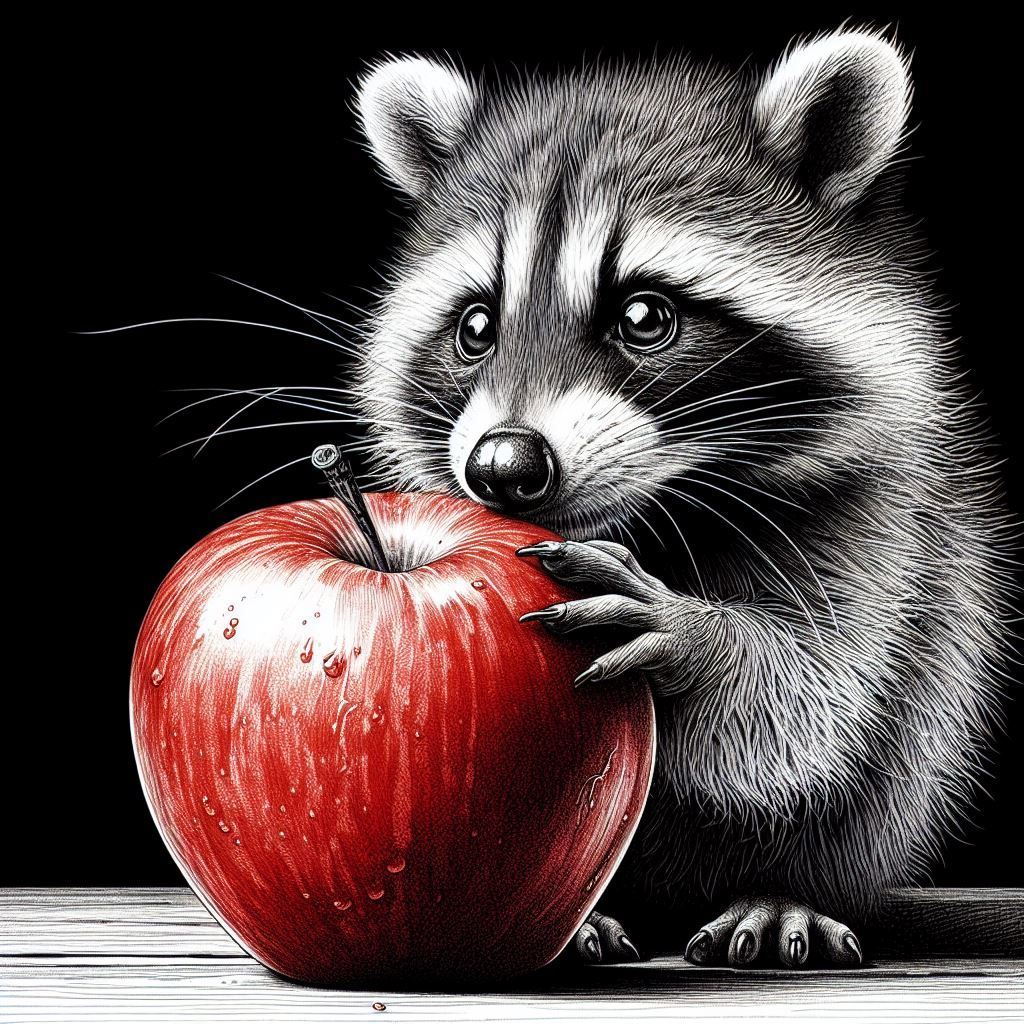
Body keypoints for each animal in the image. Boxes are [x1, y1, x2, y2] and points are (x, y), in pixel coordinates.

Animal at [351, 28, 1015, 966]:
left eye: (645, 316)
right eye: (475, 328)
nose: (504, 464)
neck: (655, 511)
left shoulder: (890, 517)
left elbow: (821, 689)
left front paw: (701, 642)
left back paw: (782, 890)